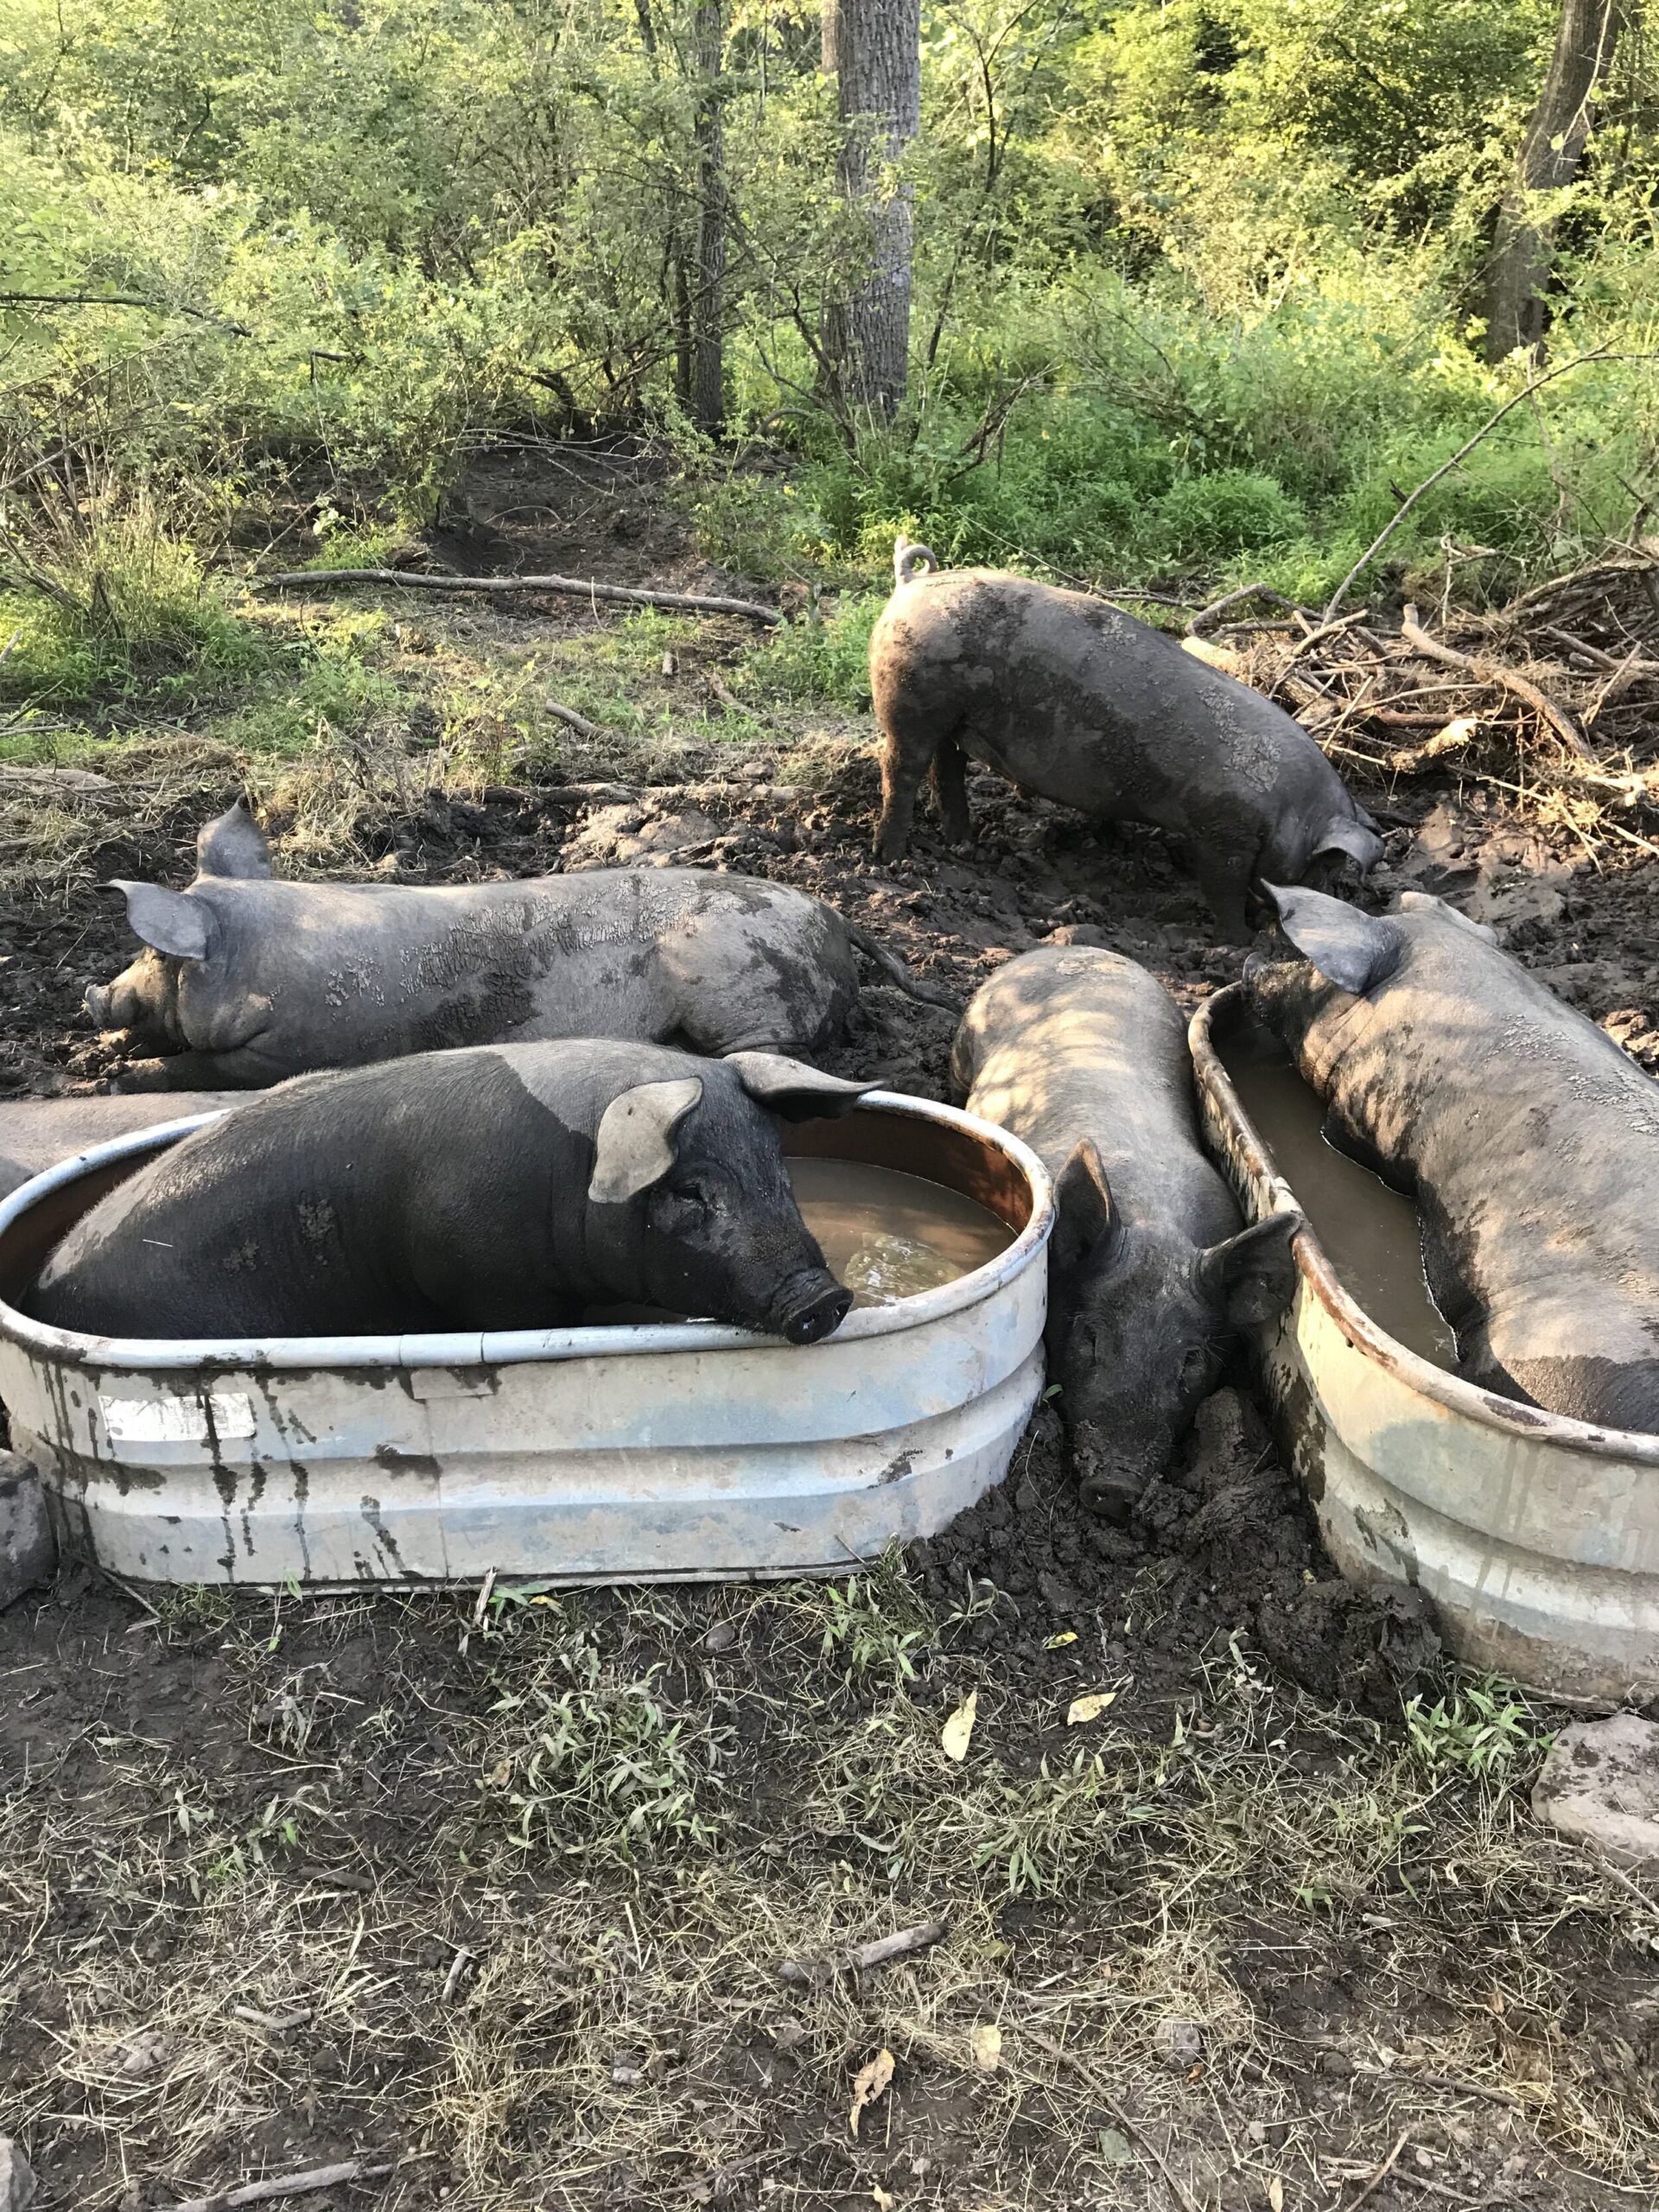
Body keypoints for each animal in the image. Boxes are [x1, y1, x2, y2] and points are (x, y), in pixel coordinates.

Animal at [86, 800, 954, 1091]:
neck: (253, 959)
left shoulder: (282, 1050)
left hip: (742, 983)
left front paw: (121, 1077)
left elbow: (196, 1068)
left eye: (159, 956)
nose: (95, 994)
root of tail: (833, 916)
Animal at [870, 542, 1382, 939]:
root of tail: (909, 584)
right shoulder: (1222, 832)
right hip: (912, 698)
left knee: (947, 770)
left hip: (954, 719)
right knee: (902, 771)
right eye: (1327, 866)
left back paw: (964, 846)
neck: (1292, 809)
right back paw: (888, 860)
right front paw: (1239, 941)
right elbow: (1222, 892)